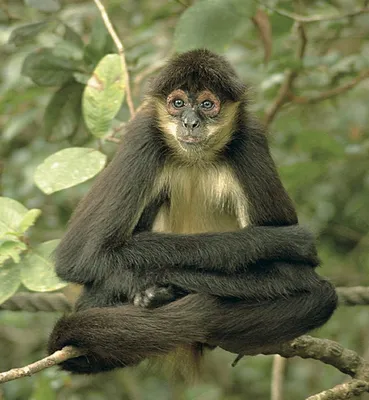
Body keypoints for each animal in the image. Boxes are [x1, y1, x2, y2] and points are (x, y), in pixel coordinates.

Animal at [47, 48, 334, 374]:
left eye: (208, 104)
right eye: (178, 103)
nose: (190, 122)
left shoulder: (251, 140)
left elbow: (295, 273)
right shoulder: (142, 135)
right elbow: (81, 256)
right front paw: (274, 242)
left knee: (320, 296)